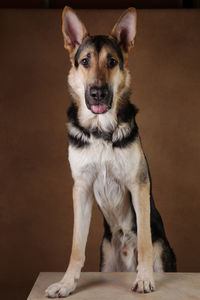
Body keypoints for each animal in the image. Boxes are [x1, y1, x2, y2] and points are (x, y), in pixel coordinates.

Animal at [45, 6, 177, 298]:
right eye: (85, 61)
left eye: (112, 62)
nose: (98, 93)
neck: (100, 132)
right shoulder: (81, 189)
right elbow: (76, 248)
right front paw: (67, 283)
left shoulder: (138, 185)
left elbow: (144, 241)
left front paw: (144, 278)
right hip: (107, 257)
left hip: (163, 251)